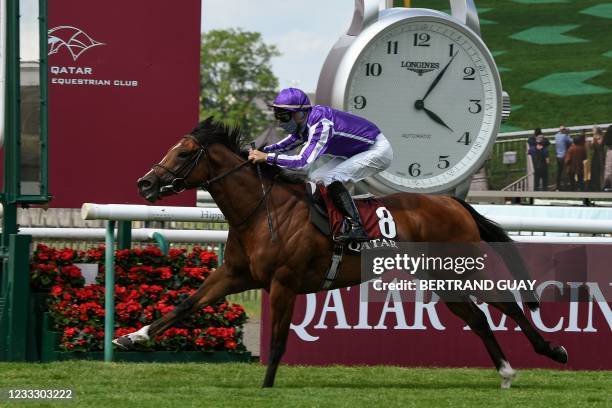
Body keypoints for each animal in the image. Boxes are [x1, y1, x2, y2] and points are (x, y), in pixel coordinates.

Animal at [119, 117, 568, 388]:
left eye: (182, 153)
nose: (144, 183)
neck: (262, 211)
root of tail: (453, 202)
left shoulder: (283, 282)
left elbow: (279, 338)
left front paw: (266, 385)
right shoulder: (234, 274)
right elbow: (187, 303)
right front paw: (132, 336)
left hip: (458, 267)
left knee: (505, 303)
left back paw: (551, 351)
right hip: (439, 277)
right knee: (477, 316)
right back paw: (506, 371)